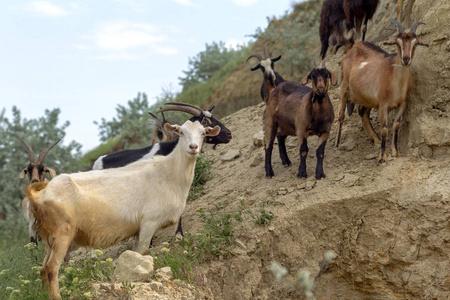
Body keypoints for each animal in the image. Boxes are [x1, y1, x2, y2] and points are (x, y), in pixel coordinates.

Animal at [25, 120, 220, 300]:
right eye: (181, 132)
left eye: (203, 133)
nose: (193, 147)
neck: (168, 173)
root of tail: (39, 193)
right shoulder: (149, 223)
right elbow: (142, 253)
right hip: (62, 235)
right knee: (51, 269)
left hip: (49, 239)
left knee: (42, 270)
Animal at [338, 20, 428, 162]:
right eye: (397, 43)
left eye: (415, 43)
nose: (406, 59)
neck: (395, 82)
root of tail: (354, 48)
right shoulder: (383, 105)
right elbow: (384, 128)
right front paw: (382, 157)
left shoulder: (402, 104)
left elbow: (396, 124)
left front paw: (395, 152)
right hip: (345, 85)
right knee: (341, 113)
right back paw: (337, 142)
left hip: (367, 99)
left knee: (363, 113)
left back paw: (375, 139)